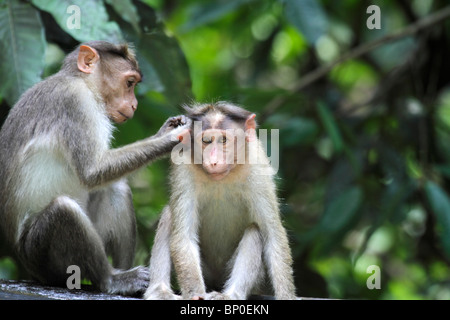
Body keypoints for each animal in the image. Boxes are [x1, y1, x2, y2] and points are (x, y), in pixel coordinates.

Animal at [0, 41, 188, 296]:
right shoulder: (74, 103)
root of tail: (30, 269)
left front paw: (167, 129)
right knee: (64, 209)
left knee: (116, 188)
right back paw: (111, 280)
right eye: (129, 83)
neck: (82, 83)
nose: (135, 105)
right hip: (41, 257)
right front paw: (174, 136)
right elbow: (92, 171)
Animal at [146, 102, 298, 300]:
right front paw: (195, 294)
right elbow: (184, 237)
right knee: (169, 215)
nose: (213, 160)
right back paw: (159, 290)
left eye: (224, 140)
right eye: (206, 141)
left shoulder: (257, 166)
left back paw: (231, 295)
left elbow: (272, 235)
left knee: (255, 230)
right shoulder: (183, 165)